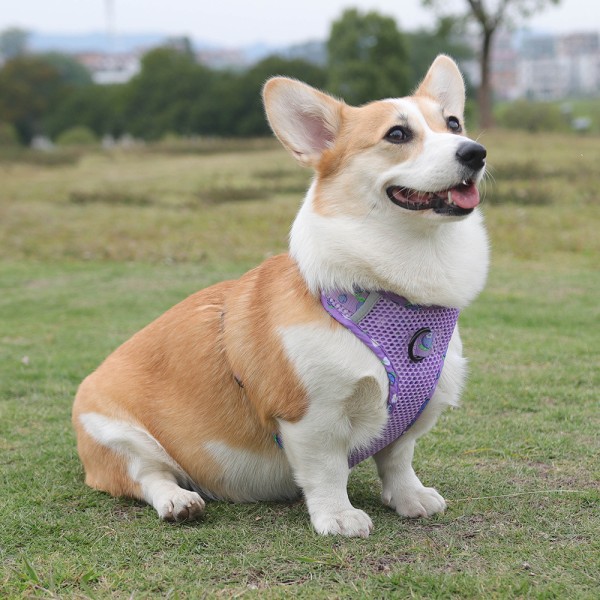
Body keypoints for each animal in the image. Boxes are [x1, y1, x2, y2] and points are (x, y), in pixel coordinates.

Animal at [74, 54, 488, 536]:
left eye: (454, 124)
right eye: (397, 135)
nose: (475, 152)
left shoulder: (412, 417)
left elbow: (398, 459)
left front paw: (410, 498)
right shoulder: (311, 416)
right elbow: (327, 471)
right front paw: (338, 517)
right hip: (118, 435)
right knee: (149, 474)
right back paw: (179, 500)